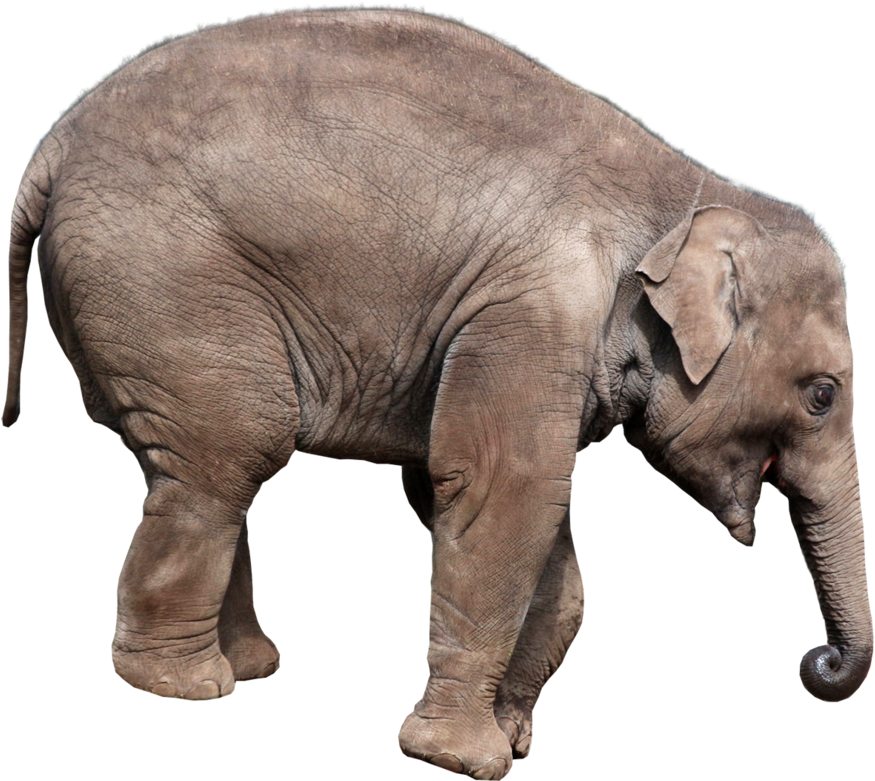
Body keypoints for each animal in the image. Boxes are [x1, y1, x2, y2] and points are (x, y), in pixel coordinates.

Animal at [4, 5, 870, 779]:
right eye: (821, 394)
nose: (819, 660)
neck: (690, 190)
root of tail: (49, 151)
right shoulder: (531, 312)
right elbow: (503, 488)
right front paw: (464, 761)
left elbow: (539, 527)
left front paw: (514, 737)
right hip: (163, 281)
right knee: (231, 453)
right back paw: (184, 686)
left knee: (199, 463)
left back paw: (246, 665)